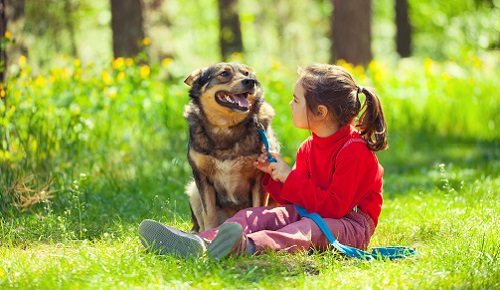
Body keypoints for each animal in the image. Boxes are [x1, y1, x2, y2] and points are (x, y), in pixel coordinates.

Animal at [184, 62, 280, 232]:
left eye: (247, 73)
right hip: (193, 191)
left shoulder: (260, 175)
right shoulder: (201, 176)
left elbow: (257, 209)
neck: (226, 127)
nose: (250, 81)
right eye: (224, 73)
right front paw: (209, 233)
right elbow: (209, 214)